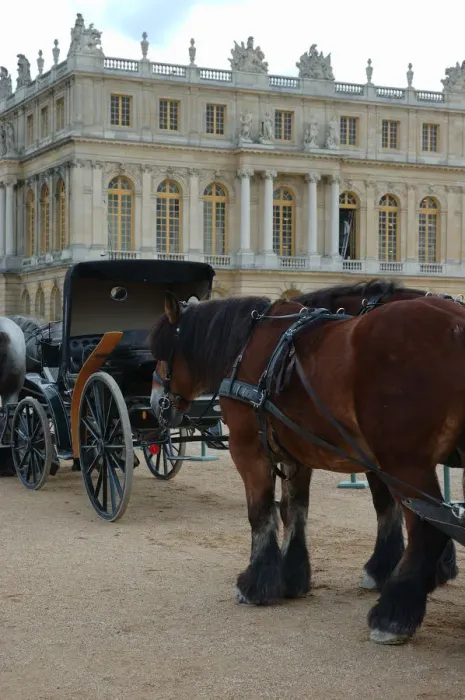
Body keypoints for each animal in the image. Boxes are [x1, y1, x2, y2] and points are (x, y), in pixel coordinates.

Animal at [148, 291, 465, 645]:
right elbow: (294, 511)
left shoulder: (248, 451)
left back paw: (394, 616)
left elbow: (261, 514)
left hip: (403, 464)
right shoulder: (295, 454)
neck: (246, 346)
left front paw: (256, 583)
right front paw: (291, 577)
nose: (156, 403)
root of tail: (456, 321)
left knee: (428, 529)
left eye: (160, 351)